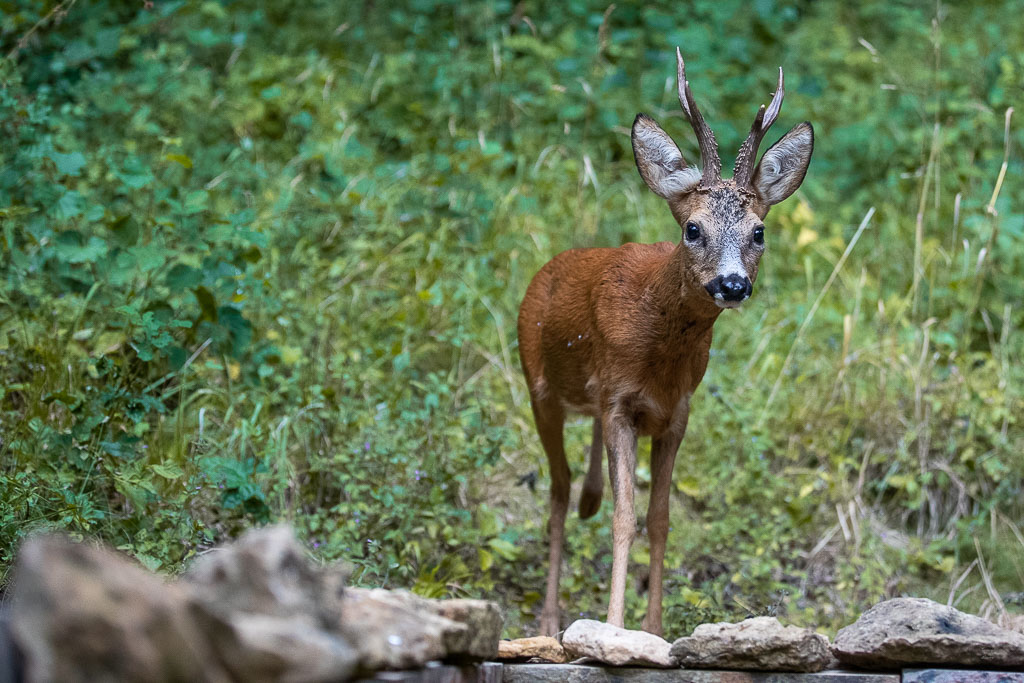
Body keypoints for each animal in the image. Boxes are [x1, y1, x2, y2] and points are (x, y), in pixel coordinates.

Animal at [520, 49, 815, 643]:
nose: (732, 284)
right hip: (538, 386)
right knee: (558, 492)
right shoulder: (618, 403)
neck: (660, 353)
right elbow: (624, 518)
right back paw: (549, 618)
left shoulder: (676, 411)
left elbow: (660, 520)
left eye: (759, 232)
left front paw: (654, 629)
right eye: (693, 229)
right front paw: (613, 627)